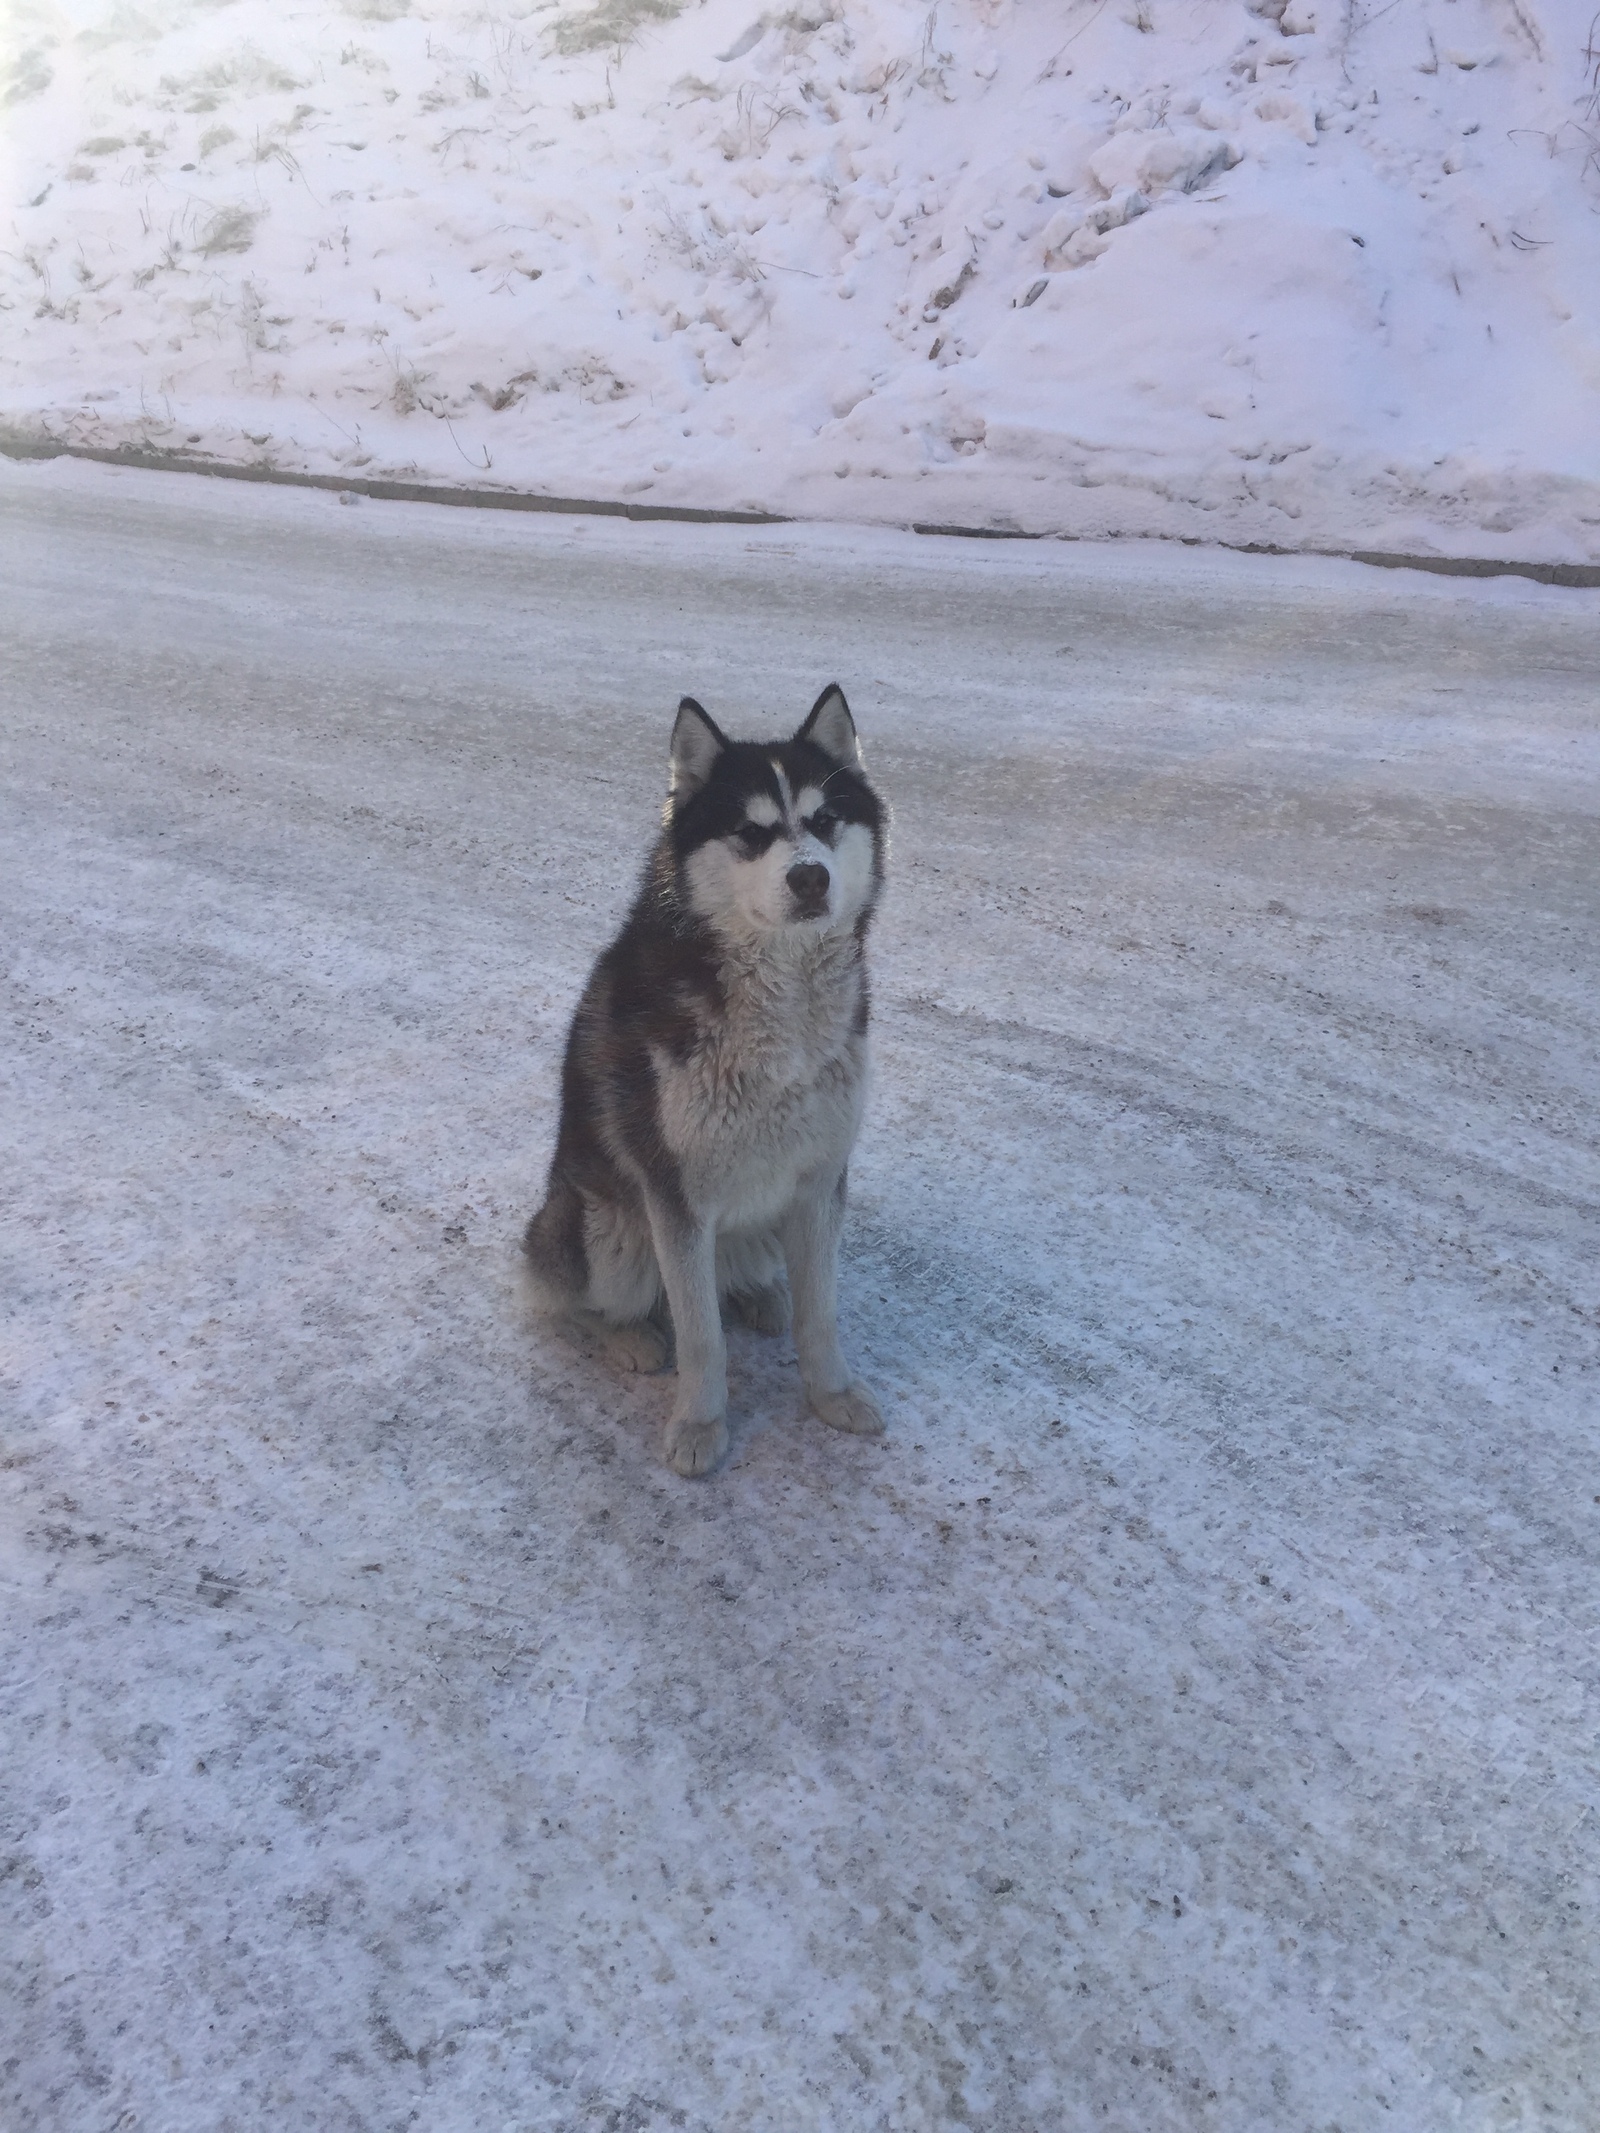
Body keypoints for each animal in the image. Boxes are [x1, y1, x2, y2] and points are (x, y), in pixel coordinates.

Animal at [522, 678, 883, 1467]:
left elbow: (821, 1313)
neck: (782, 999)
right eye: (750, 832)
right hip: (608, 1229)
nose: (810, 876)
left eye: (825, 821)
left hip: (758, 1228)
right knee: (568, 1300)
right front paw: (699, 1425)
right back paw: (627, 1336)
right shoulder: (676, 1195)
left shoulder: (819, 1177)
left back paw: (760, 1298)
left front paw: (832, 1394)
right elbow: (699, 1336)